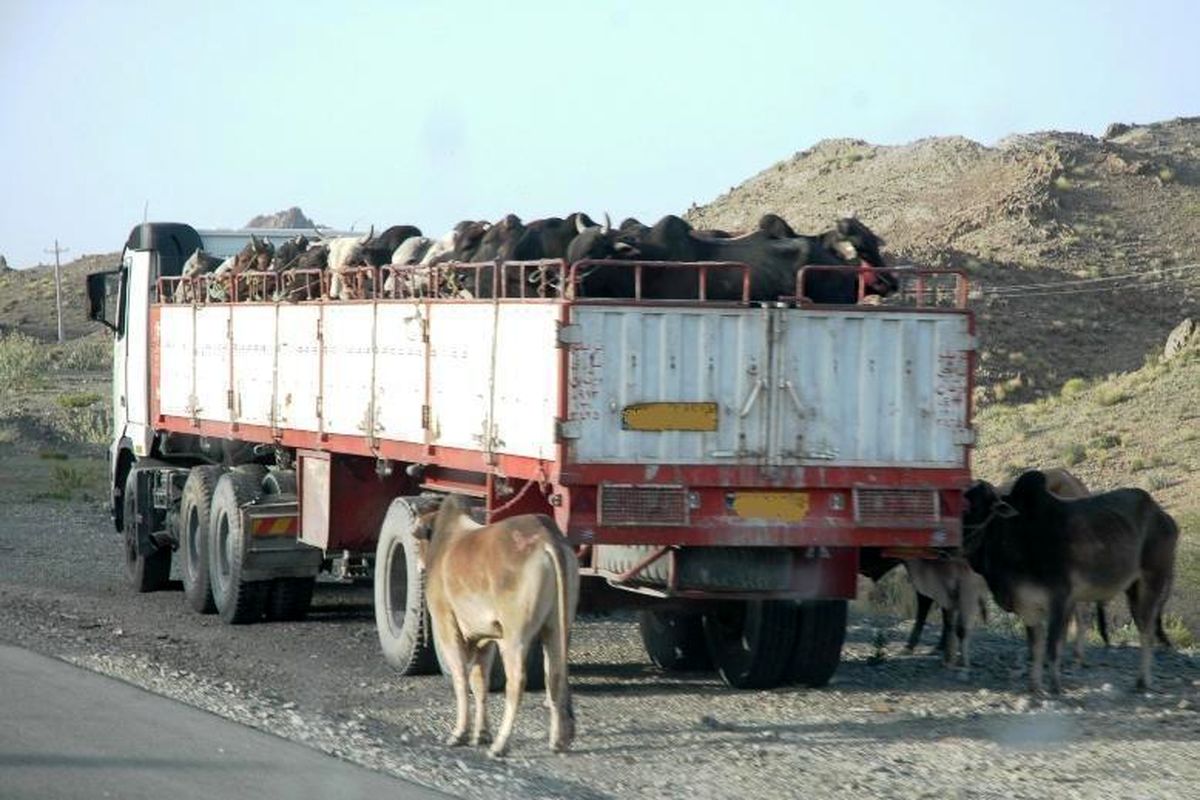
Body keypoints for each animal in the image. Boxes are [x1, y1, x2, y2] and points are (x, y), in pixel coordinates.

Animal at [417, 494, 580, 758]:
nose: (419, 566)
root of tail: (547, 537)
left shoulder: (447, 625)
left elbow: (461, 679)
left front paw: (460, 733)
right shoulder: (485, 638)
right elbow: (480, 683)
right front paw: (481, 734)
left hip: (515, 638)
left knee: (516, 683)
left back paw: (501, 744)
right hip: (556, 628)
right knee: (554, 676)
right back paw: (558, 741)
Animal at [960, 470, 1176, 695]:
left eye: (975, 507)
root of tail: (1164, 516)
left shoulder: (1059, 599)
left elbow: (1052, 647)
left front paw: (1055, 686)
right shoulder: (1028, 607)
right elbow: (1036, 648)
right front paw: (1034, 686)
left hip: (1152, 581)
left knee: (1147, 631)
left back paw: (1143, 681)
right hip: (1132, 589)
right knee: (1143, 628)